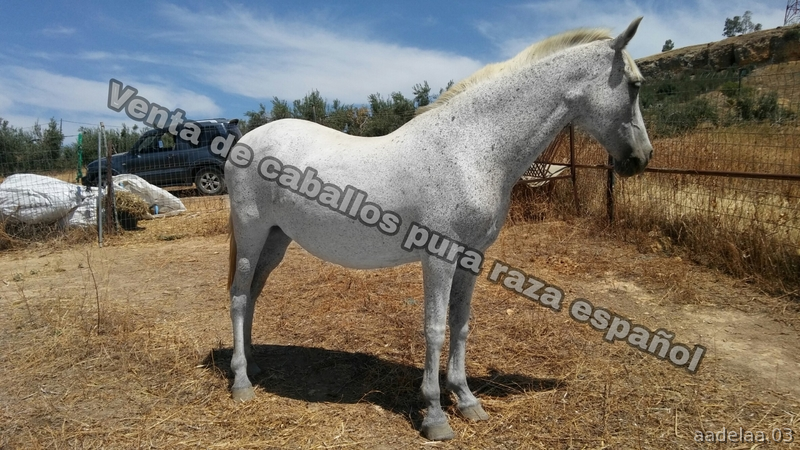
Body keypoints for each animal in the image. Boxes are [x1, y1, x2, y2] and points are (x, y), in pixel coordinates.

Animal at [225, 17, 653, 441]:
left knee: (255, 292)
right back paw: (242, 381)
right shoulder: (438, 259)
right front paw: (434, 415)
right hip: (251, 234)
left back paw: (255, 365)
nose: (642, 158)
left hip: (276, 239)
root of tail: (245, 141)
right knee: (239, 296)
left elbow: (460, 325)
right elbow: (434, 328)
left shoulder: (471, 259)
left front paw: (465, 399)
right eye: (634, 84)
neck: (468, 150)